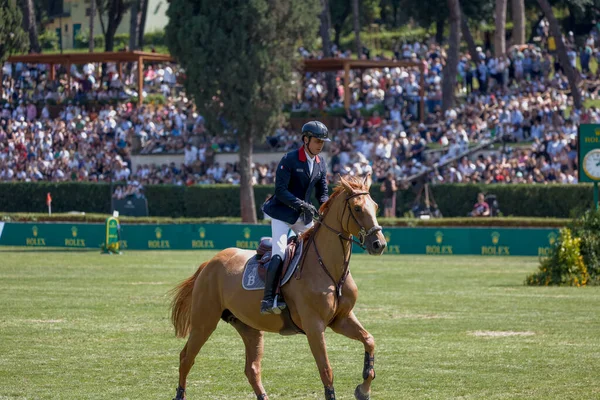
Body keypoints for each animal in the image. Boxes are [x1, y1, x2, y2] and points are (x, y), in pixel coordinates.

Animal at [170, 175, 384, 400]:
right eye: (357, 208)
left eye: (375, 206)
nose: (379, 244)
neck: (330, 270)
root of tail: (209, 262)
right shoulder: (314, 326)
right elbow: (326, 370)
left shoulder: (342, 319)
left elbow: (369, 340)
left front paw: (363, 389)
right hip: (204, 322)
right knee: (186, 357)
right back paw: (180, 394)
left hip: (249, 327)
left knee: (252, 368)